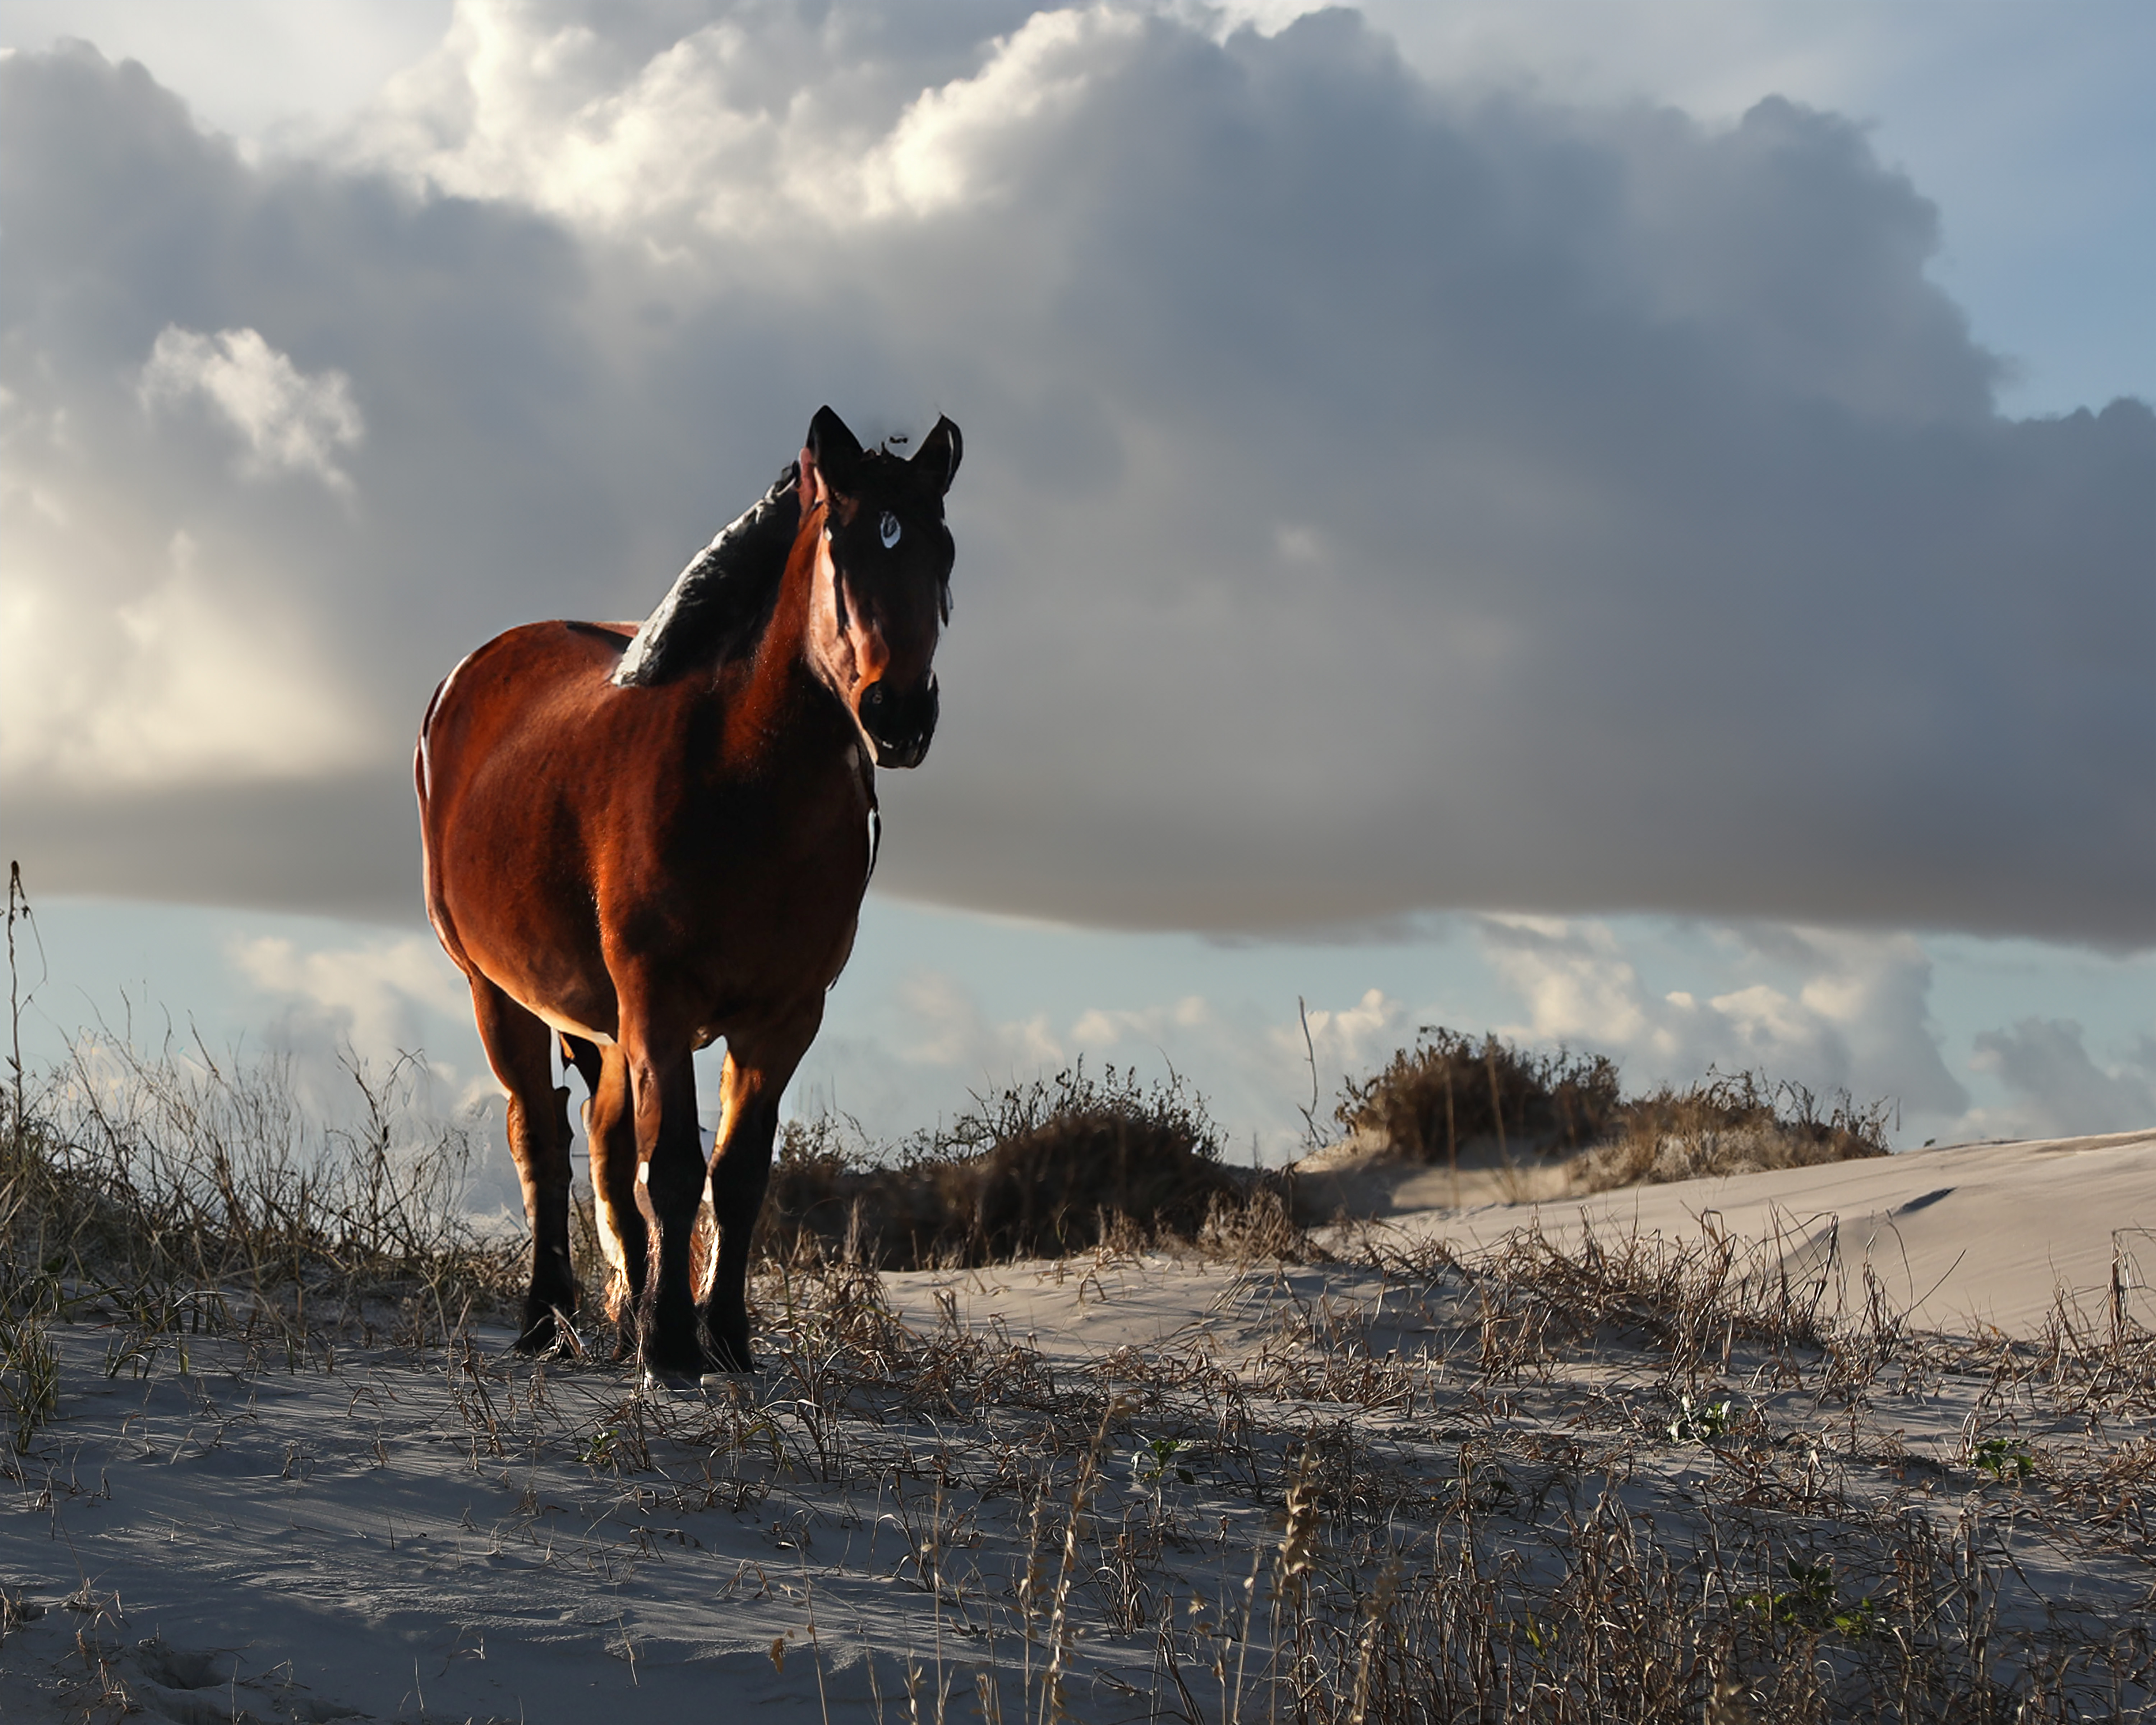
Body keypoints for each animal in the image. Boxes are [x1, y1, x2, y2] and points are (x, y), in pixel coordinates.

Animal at [416, 408, 957, 1371]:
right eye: (841, 546)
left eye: (946, 553)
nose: (898, 714)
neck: (741, 781)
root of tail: (466, 675)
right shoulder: (659, 1001)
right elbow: (670, 1167)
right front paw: (670, 1343)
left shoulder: (784, 1018)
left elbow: (735, 1177)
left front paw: (725, 1336)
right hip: (499, 994)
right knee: (541, 1139)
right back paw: (547, 1317)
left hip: (602, 1023)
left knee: (600, 1144)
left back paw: (618, 1306)